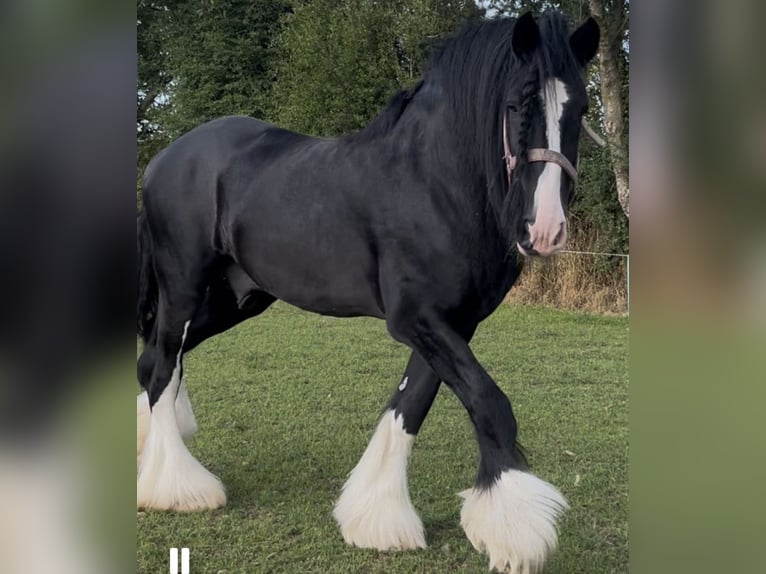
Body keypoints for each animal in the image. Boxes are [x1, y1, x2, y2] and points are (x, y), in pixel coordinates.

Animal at [136, 12, 599, 573]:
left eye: (581, 108)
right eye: (515, 105)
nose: (546, 230)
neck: (432, 183)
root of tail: (164, 158)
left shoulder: (452, 323)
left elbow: (409, 405)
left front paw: (376, 518)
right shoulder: (417, 319)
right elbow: (490, 404)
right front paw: (515, 534)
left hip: (236, 299)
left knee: (154, 362)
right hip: (183, 287)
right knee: (163, 364)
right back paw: (178, 489)